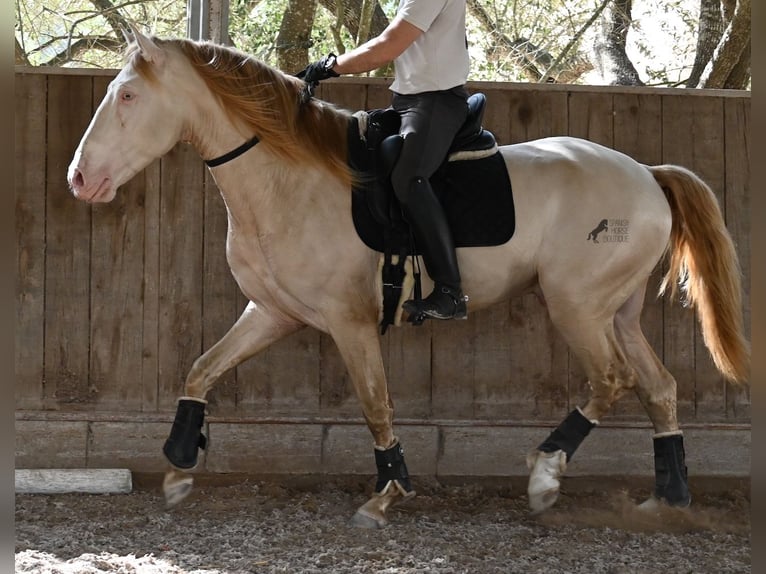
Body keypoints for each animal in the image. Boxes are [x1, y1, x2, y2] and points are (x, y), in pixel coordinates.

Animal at [67, 29, 752, 528]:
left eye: (127, 97)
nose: (80, 179)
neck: (289, 179)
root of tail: (646, 174)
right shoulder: (272, 313)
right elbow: (201, 369)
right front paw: (180, 464)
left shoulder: (349, 322)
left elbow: (376, 403)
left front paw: (387, 493)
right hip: (616, 311)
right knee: (659, 388)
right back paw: (669, 496)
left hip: (577, 307)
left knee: (610, 380)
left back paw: (544, 476)